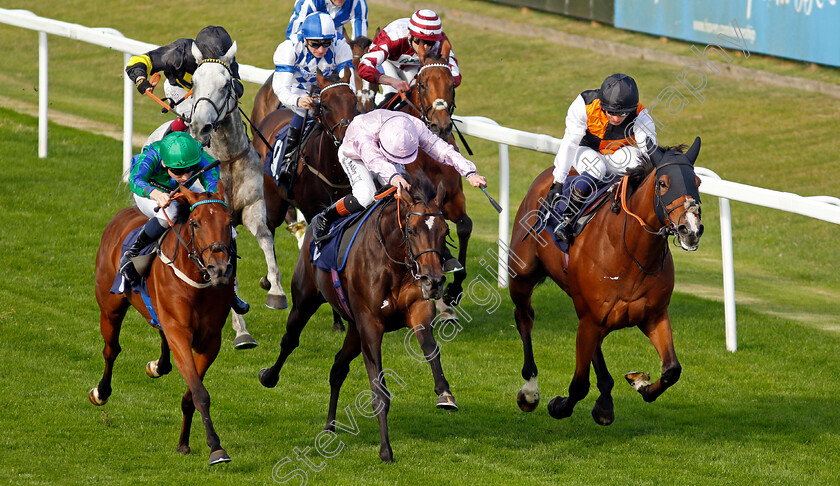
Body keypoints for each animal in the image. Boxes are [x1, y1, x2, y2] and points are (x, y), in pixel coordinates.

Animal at [91, 185, 235, 464]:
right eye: (195, 223)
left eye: (229, 222)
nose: (220, 270)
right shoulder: (179, 331)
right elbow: (200, 393)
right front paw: (216, 448)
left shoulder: (211, 340)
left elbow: (191, 394)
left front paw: (184, 443)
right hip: (110, 308)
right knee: (111, 350)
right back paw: (101, 392)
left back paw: (158, 365)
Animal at [186, 39, 288, 348]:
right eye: (194, 82)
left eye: (226, 83)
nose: (201, 126)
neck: (226, 158)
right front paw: (241, 329)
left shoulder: (253, 207)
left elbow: (266, 239)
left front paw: (276, 292)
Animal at [260, 176, 460, 464]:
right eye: (412, 231)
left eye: (445, 232)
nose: (434, 281)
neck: (393, 261)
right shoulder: (370, 325)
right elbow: (379, 391)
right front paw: (386, 449)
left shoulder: (417, 310)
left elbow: (431, 348)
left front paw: (445, 394)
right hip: (305, 301)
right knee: (290, 341)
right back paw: (269, 376)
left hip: (354, 330)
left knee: (337, 368)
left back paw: (330, 426)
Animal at [508, 140, 704, 426]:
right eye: (663, 183)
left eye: (697, 182)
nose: (690, 230)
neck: (632, 254)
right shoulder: (590, 319)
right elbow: (578, 385)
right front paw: (558, 405)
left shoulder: (654, 315)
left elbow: (672, 370)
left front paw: (640, 384)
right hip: (521, 275)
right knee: (525, 317)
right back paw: (530, 390)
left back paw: (605, 399)